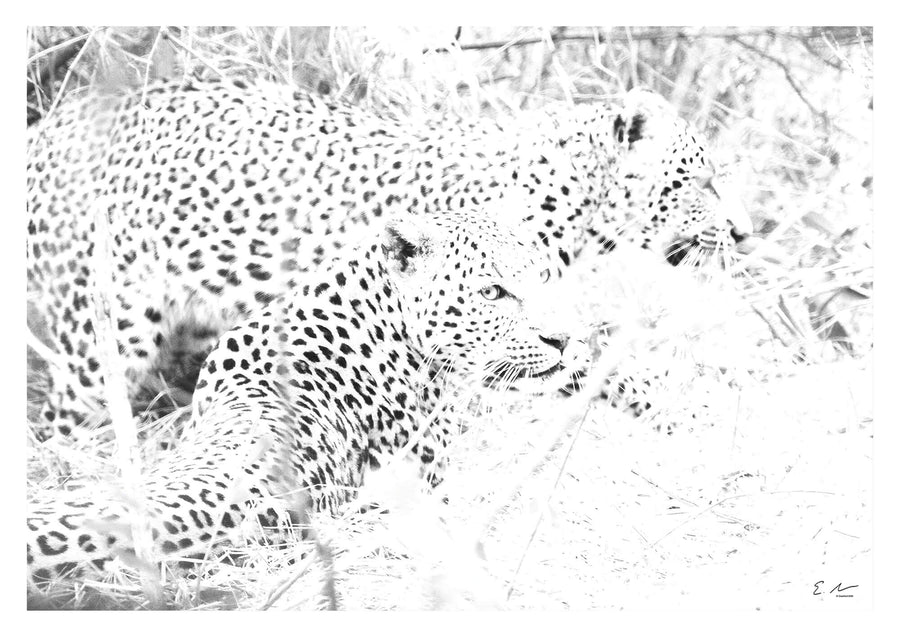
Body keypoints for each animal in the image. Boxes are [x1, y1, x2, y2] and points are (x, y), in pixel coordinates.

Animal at [26, 78, 752, 442]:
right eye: (701, 180)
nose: (748, 232)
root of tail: (47, 128)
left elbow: (608, 364)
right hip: (104, 332)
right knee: (62, 423)